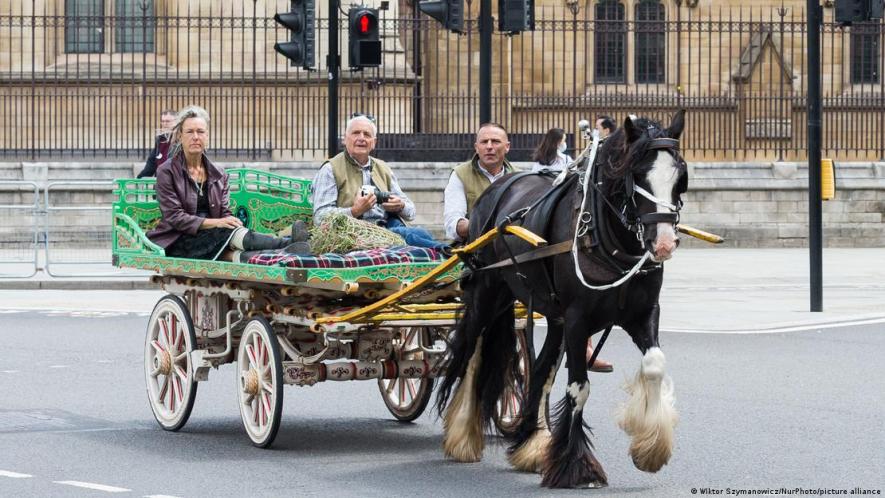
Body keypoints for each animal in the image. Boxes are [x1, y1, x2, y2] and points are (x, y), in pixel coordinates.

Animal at [434, 111, 684, 488]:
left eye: (680, 175)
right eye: (638, 174)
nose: (665, 244)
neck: (607, 238)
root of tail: (498, 185)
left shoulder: (643, 313)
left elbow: (654, 365)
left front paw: (649, 449)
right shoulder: (578, 319)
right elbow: (579, 388)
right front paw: (576, 466)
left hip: (553, 316)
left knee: (539, 369)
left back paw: (533, 444)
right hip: (486, 293)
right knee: (472, 354)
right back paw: (463, 435)